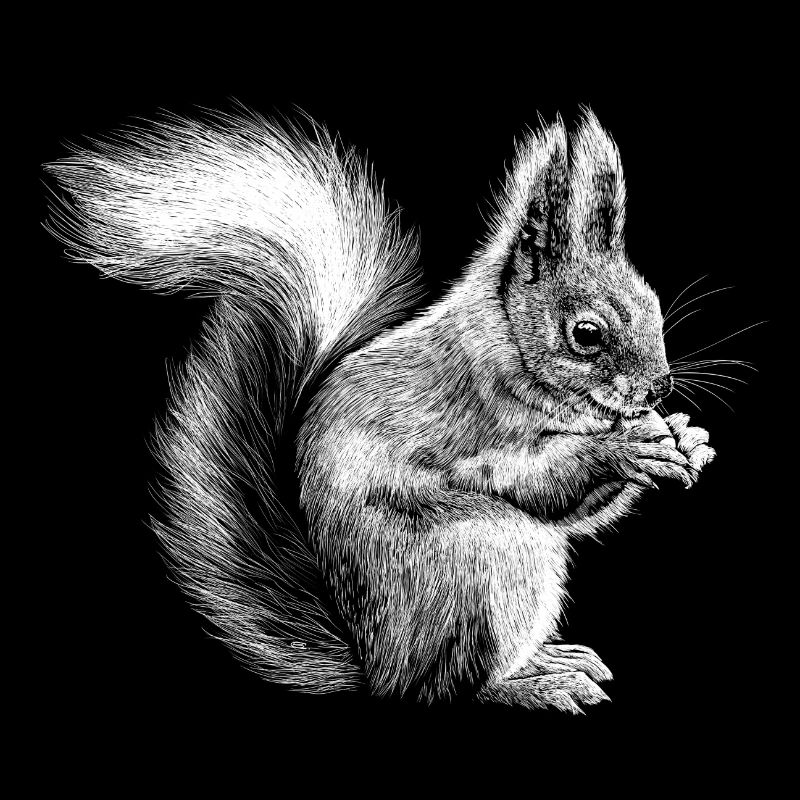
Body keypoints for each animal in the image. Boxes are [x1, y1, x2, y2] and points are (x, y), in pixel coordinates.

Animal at [45, 106, 715, 713]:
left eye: (653, 304)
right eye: (586, 334)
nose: (658, 389)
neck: (507, 345)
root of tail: (375, 665)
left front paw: (687, 438)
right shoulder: (478, 429)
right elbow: (536, 482)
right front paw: (626, 446)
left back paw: (552, 659)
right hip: (486, 558)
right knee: (450, 687)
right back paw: (536, 684)